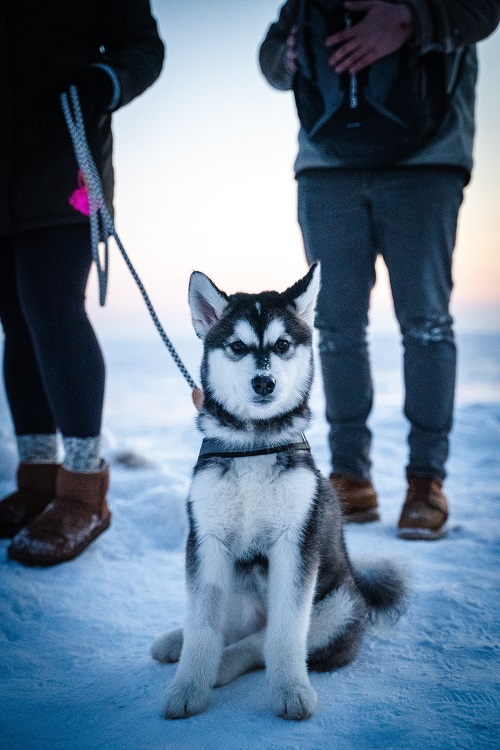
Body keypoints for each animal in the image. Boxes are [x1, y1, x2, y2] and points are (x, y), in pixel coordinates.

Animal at [151, 264, 406, 724]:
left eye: (283, 345)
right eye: (237, 346)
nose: (264, 382)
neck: (254, 444)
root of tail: (359, 586)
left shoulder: (296, 544)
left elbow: (285, 633)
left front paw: (289, 690)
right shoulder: (207, 542)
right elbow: (202, 626)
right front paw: (187, 687)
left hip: (338, 608)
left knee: (260, 642)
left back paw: (226, 665)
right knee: (229, 628)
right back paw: (176, 642)